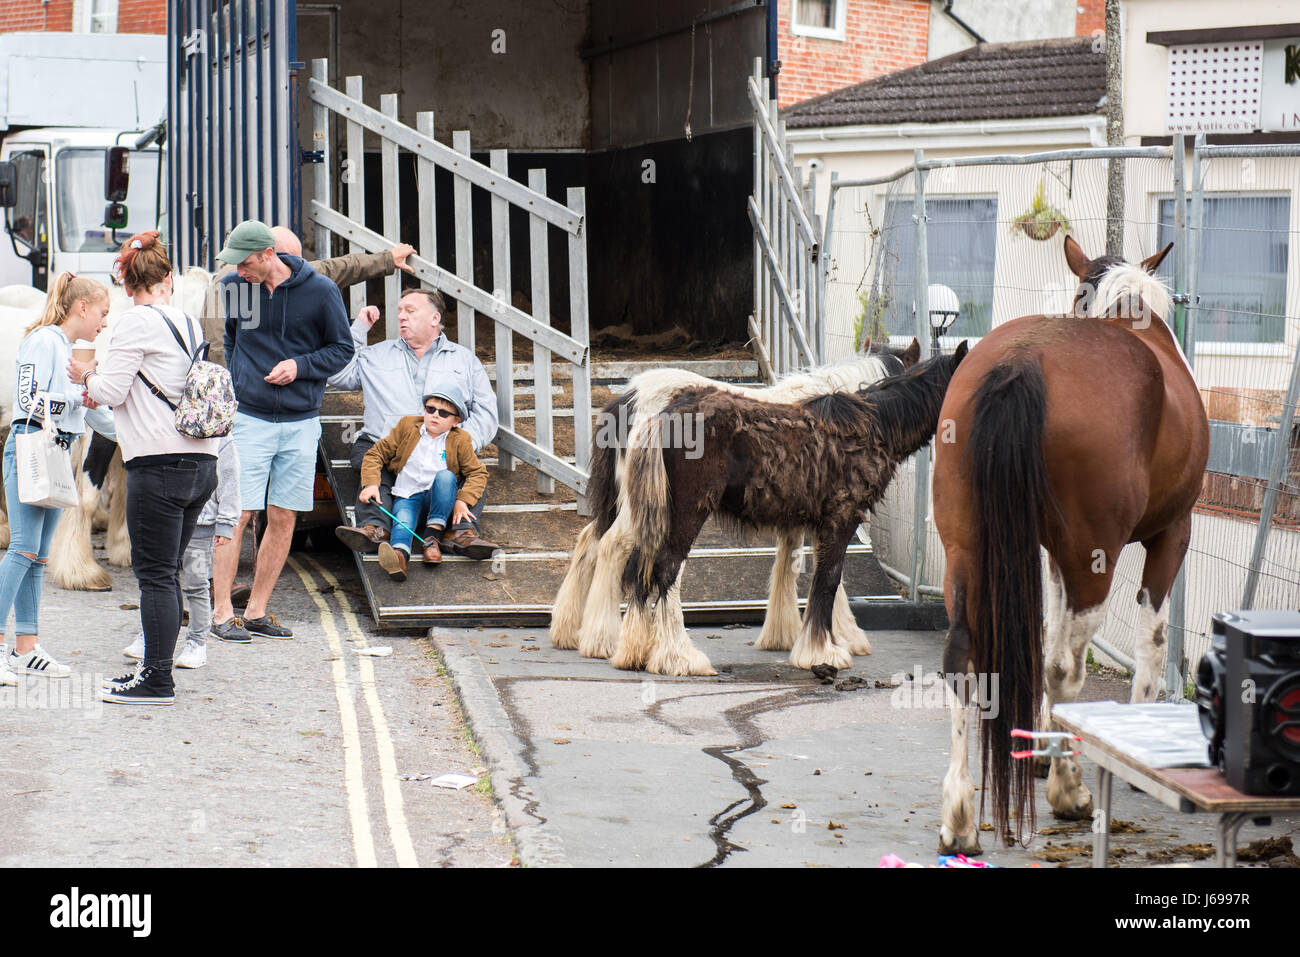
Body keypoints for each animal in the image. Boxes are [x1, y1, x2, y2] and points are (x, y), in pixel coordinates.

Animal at [548, 343, 925, 665]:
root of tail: (627, 399)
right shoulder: (830, 515)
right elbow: (830, 575)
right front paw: (843, 638)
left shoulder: (796, 518)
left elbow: (791, 566)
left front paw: (786, 635)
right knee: (616, 548)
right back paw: (605, 640)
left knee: (591, 539)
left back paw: (571, 632)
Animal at [935, 237, 1206, 852]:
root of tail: (1022, 362)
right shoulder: (1172, 533)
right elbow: (1151, 640)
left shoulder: (1055, 555)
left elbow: (1048, 629)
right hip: (1093, 558)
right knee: (1063, 667)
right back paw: (1068, 790)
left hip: (967, 548)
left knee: (964, 652)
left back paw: (959, 816)